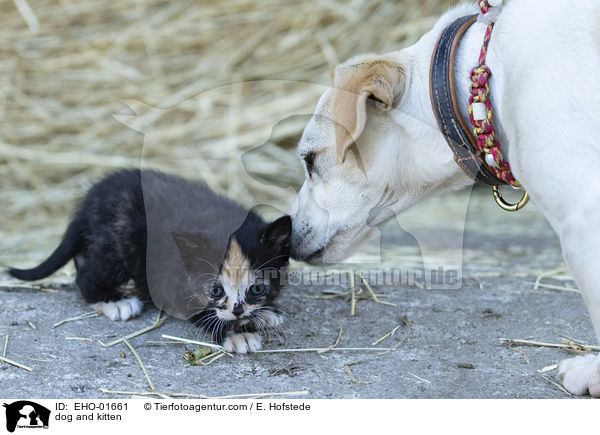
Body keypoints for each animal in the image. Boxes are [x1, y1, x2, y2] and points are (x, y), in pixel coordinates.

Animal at [8, 169, 290, 354]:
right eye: (216, 291)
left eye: (257, 288)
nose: (238, 312)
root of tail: (92, 198)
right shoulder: (173, 282)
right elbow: (201, 311)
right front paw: (238, 336)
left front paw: (265, 314)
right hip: (119, 242)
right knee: (87, 275)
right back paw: (115, 301)